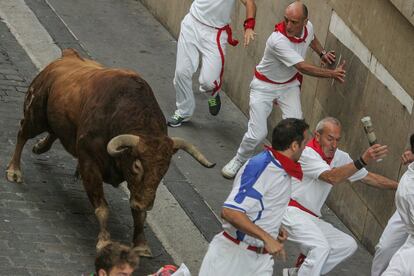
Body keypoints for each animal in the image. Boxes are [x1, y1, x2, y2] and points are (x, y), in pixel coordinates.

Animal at [5, 48, 213, 258]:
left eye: (164, 169)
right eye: (137, 165)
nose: (145, 203)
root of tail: (67, 56)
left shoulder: (135, 186)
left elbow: (139, 215)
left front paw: (141, 244)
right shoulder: (90, 165)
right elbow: (103, 207)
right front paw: (105, 240)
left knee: (54, 132)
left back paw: (40, 147)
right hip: (36, 114)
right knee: (22, 134)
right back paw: (14, 170)